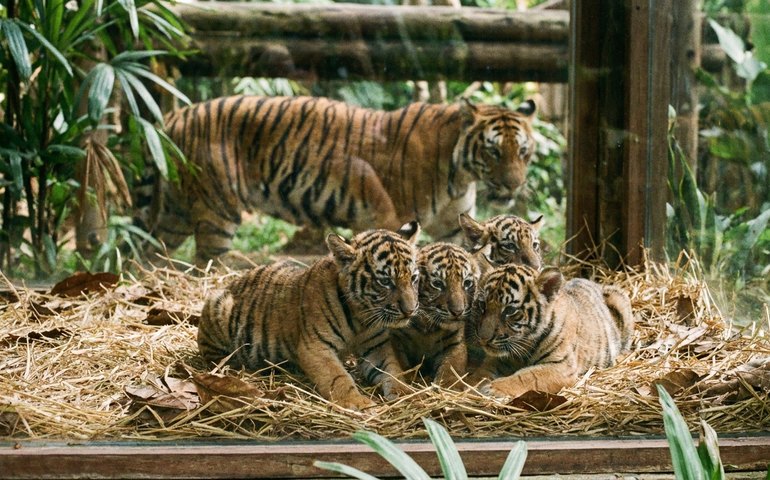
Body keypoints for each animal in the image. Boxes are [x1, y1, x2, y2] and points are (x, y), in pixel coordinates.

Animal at [140, 95, 537, 264]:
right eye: (494, 152)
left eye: (523, 152)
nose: (514, 185)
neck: (461, 173)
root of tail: (171, 116)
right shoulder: (391, 217)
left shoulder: (454, 228)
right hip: (217, 210)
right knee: (206, 262)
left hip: (175, 211)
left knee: (150, 251)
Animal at [196, 222, 421, 410]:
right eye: (385, 281)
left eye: (413, 278)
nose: (410, 310)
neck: (362, 317)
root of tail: (233, 282)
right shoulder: (315, 346)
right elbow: (338, 377)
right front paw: (358, 402)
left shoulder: (377, 347)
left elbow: (393, 370)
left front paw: (406, 393)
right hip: (219, 309)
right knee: (216, 359)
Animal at [389, 242, 480, 387]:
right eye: (438, 284)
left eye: (467, 283)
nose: (458, 311)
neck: (427, 328)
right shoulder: (395, 336)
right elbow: (401, 362)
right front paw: (411, 378)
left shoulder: (455, 343)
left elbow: (452, 366)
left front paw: (448, 385)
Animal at [468, 264, 634, 399]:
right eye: (482, 305)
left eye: (510, 310)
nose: (483, 338)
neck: (524, 345)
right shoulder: (498, 359)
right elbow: (483, 371)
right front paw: (469, 385)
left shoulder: (561, 366)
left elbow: (528, 376)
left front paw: (493, 388)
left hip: (619, 298)